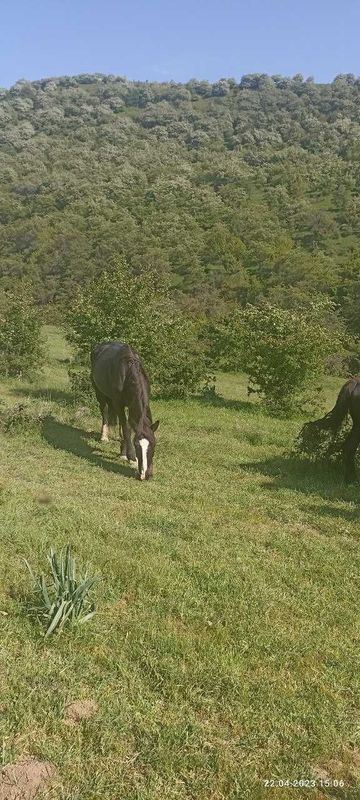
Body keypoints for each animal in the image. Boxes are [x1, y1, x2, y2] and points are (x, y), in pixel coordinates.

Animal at [90, 342, 158, 482]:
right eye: (137, 446)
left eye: (153, 445)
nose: (144, 475)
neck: (128, 371)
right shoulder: (118, 403)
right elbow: (126, 428)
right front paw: (131, 457)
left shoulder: (132, 405)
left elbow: (129, 426)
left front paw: (123, 452)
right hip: (99, 393)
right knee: (104, 411)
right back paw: (104, 436)